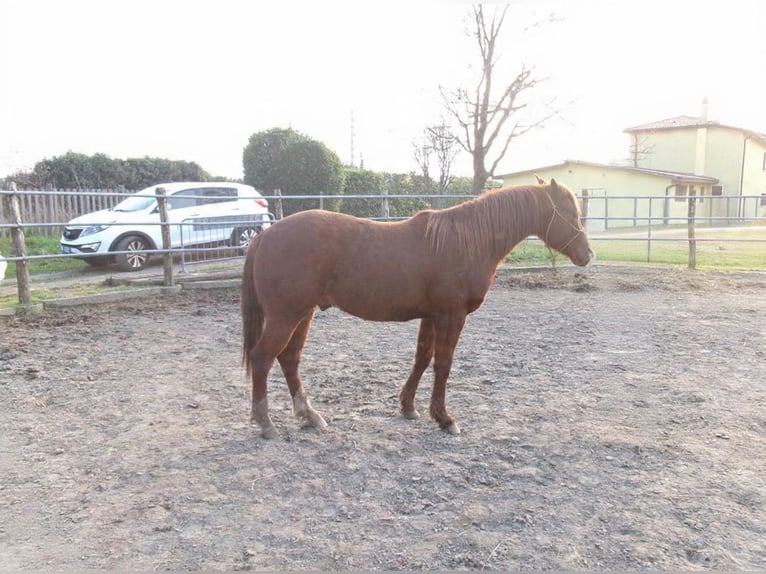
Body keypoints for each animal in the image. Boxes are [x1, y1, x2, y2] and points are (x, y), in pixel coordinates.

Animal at [241, 178, 593, 438]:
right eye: (570, 212)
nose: (587, 254)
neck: (466, 242)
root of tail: (266, 235)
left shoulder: (431, 316)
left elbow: (423, 358)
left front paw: (408, 407)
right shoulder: (451, 316)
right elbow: (443, 365)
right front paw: (445, 418)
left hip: (303, 313)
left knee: (289, 359)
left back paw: (310, 416)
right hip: (286, 316)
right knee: (263, 357)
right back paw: (266, 423)